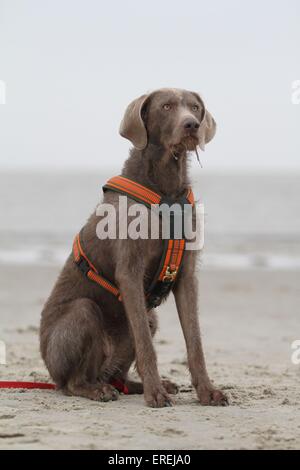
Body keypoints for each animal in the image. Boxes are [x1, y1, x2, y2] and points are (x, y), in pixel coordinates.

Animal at [39, 88, 227, 408]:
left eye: (194, 107)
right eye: (166, 106)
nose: (191, 124)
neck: (165, 191)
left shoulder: (186, 274)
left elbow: (195, 341)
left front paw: (207, 391)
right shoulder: (130, 271)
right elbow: (146, 346)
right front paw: (155, 393)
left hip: (148, 321)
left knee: (118, 375)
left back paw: (139, 385)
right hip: (80, 318)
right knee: (74, 381)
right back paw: (97, 390)